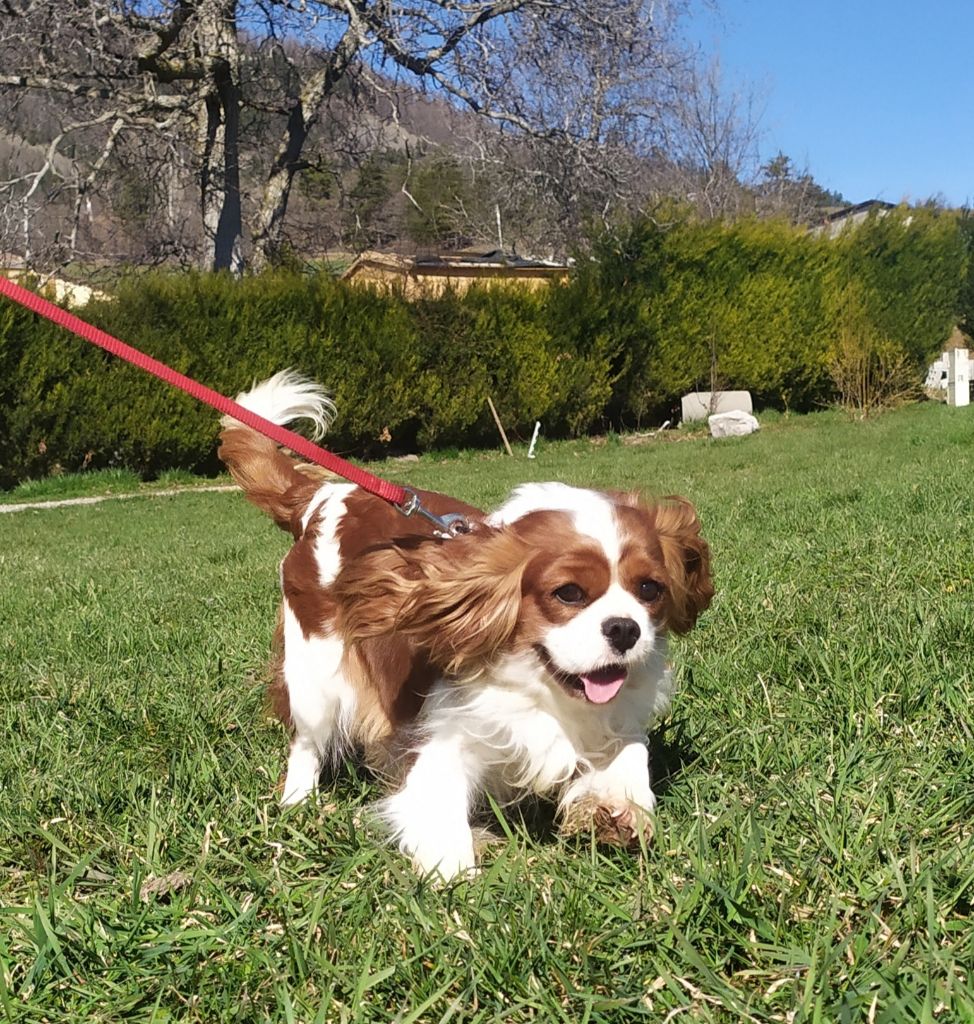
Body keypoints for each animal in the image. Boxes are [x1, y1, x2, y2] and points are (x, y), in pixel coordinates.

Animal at [219, 371, 713, 878]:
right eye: (569, 593)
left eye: (650, 589)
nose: (625, 629)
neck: (540, 687)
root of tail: (319, 497)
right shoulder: (442, 743)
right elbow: (437, 810)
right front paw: (458, 877)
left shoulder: (616, 717)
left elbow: (631, 756)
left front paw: (619, 811)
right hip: (314, 678)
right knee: (307, 745)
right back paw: (299, 804)